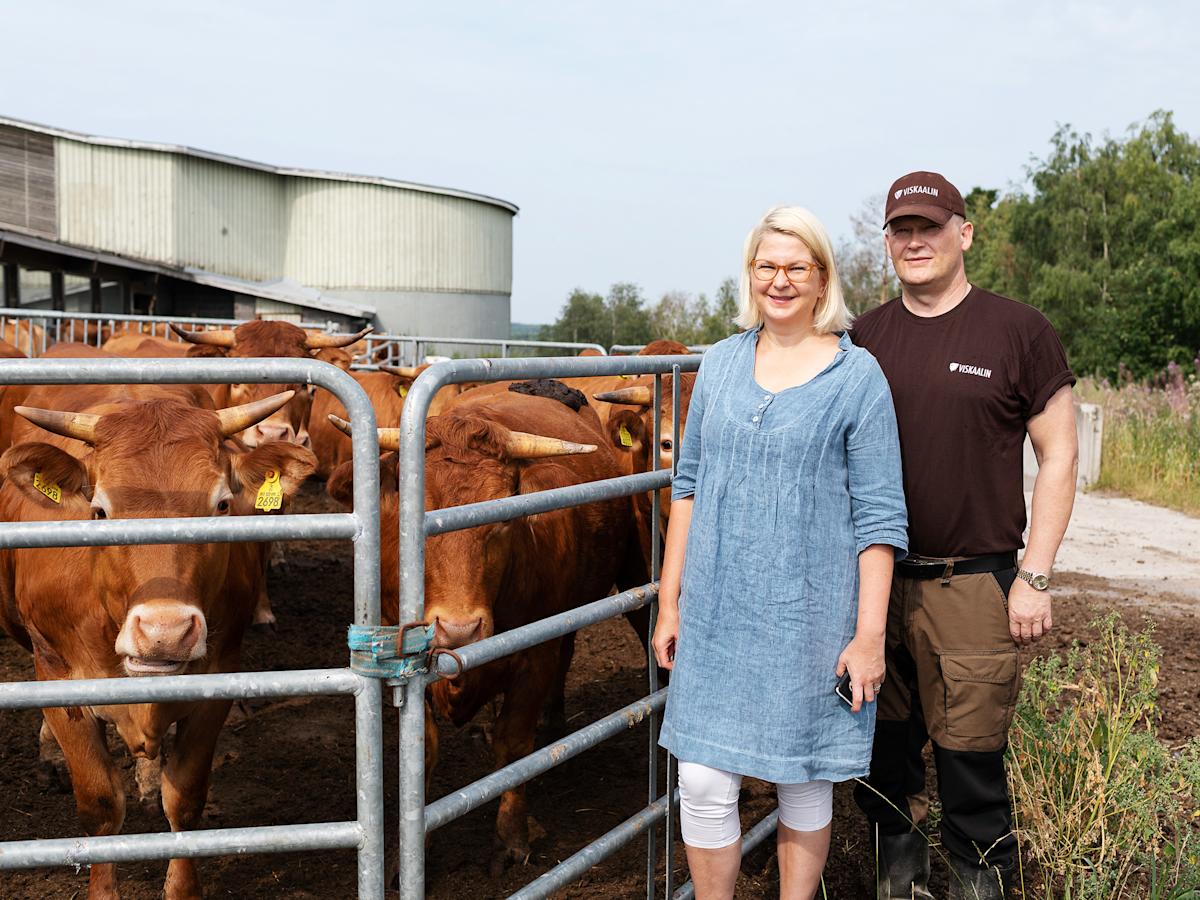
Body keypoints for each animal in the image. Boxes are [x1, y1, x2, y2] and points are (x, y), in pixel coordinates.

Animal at [0, 381, 314, 900]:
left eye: (222, 505)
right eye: (99, 511)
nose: (165, 632)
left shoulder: (217, 681)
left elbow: (183, 798)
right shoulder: (58, 673)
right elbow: (101, 805)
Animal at [324, 381, 648, 873]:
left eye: (501, 520)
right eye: (409, 521)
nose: (459, 631)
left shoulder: (533, 656)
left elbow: (513, 744)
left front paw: (511, 838)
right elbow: (422, 750)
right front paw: (412, 852)